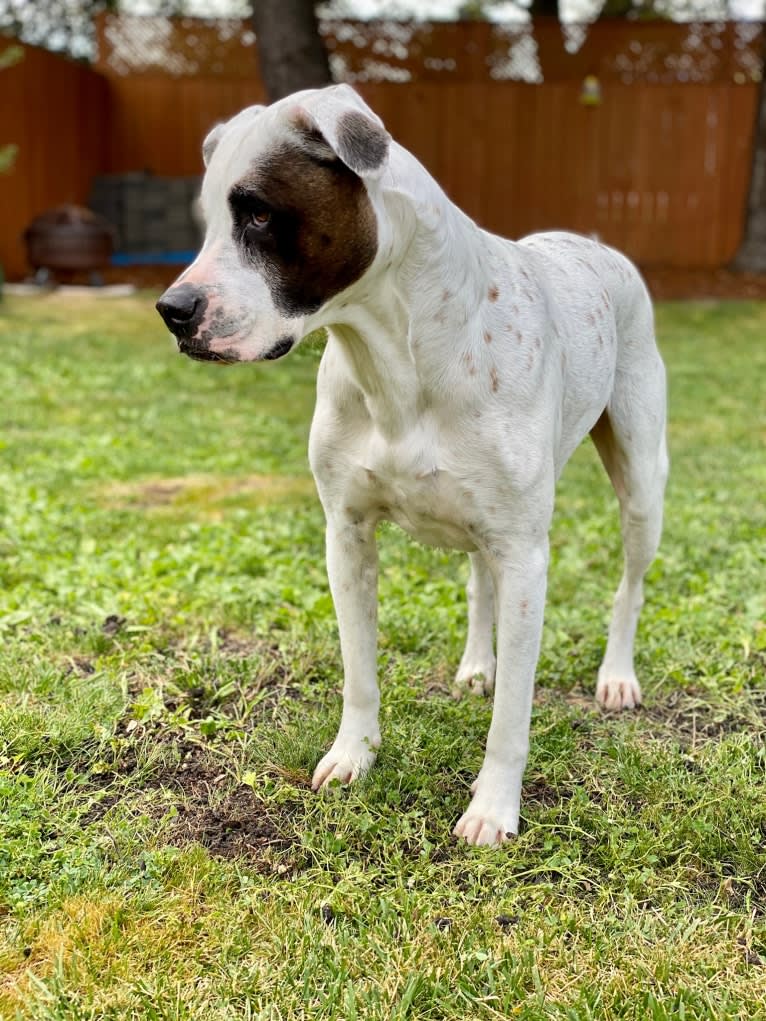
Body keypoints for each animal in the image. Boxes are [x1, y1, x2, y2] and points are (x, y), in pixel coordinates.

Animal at [159, 83, 669, 845]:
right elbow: (360, 671)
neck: (393, 355)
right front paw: (355, 755)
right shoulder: (347, 534)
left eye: (258, 213)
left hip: (640, 487)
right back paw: (478, 664)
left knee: (627, 587)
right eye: (208, 220)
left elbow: (513, 714)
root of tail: (597, 244)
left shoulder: (526, 556)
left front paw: (493, 807)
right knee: (479, 583)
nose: (172, 308)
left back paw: (616, 676)